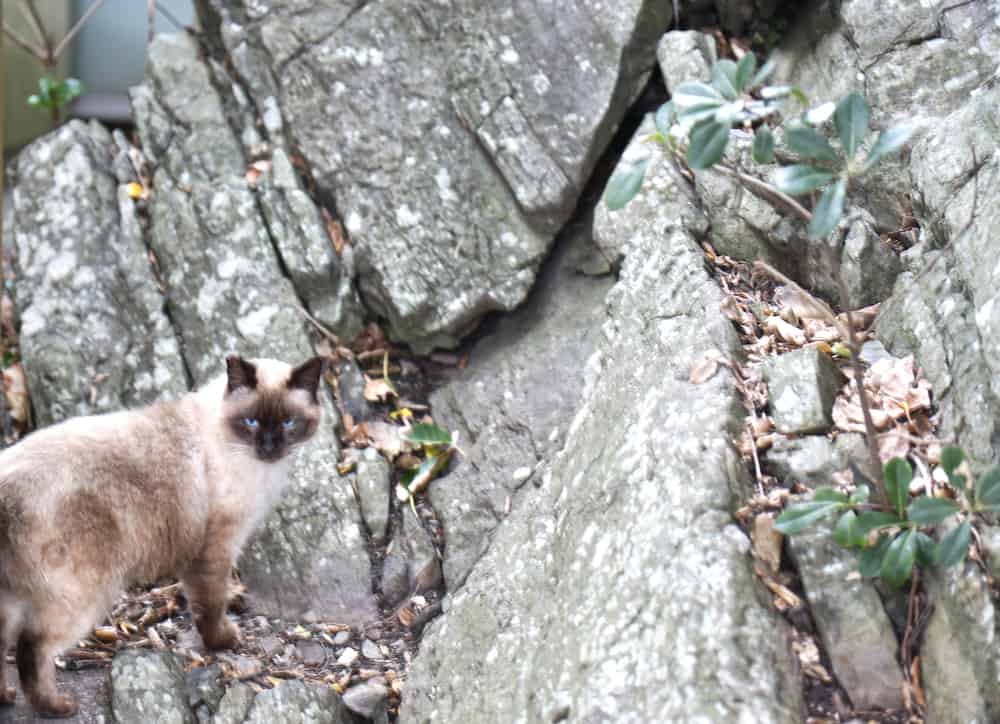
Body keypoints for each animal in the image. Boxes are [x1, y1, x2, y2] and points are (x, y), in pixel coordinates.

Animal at [0, 354, 324, 716]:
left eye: (289, 423)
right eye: (251, 421)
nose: (269, 447)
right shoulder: (215, 550)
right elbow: (212, 606)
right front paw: (224, 642)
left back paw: (6, 697)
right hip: (85, 595)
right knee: (32, 646)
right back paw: (57, 706)